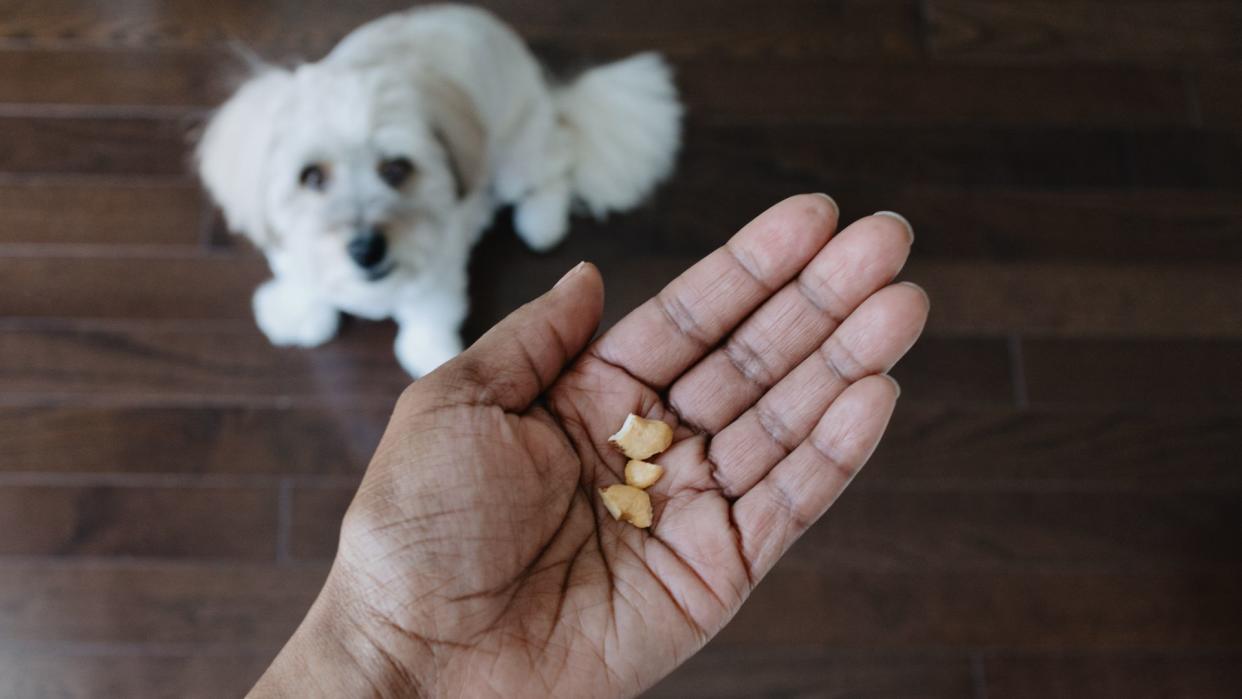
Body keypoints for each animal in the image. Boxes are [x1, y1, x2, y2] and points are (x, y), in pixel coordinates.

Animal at [196, 4, 680, 377]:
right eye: (311, 177)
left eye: (396, 168)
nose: (367, 249)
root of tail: (545, 92)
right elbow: (301, 278)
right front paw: (298, 314)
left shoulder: (439, 266)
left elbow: (429, 313)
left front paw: (429, 353)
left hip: (516, 155)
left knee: (554, 166)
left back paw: (541, 223)